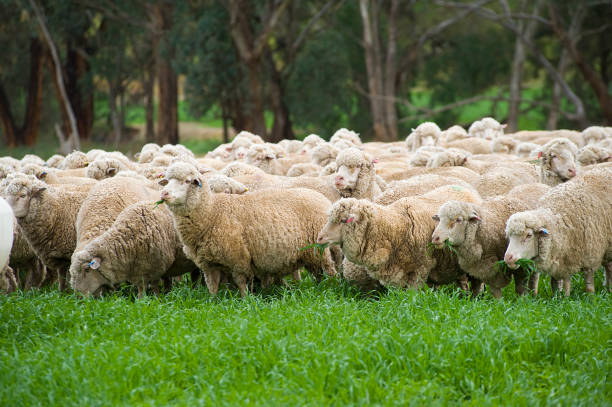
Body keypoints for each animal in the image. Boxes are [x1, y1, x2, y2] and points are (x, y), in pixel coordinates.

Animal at [158, 162, 338, 296]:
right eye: (167, 180)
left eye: (187, 181)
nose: (164, 193)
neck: (212, 213)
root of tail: (320, 198)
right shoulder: (208, 264)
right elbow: (212, 287)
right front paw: (213, 302)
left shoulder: (239, 258)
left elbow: (241, 283)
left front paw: (246, 301)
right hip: (308, 254)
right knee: (317, 273)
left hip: (319, 250)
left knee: (329, 270)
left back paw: (331, 288)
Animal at [502, 167, 612, 296]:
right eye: (509, 237)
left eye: (528, 235)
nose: (508, 258)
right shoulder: (561, 259)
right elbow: (559, 283)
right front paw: (560, 297)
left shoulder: (590, 254)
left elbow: (588, 282)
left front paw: (590, 297)